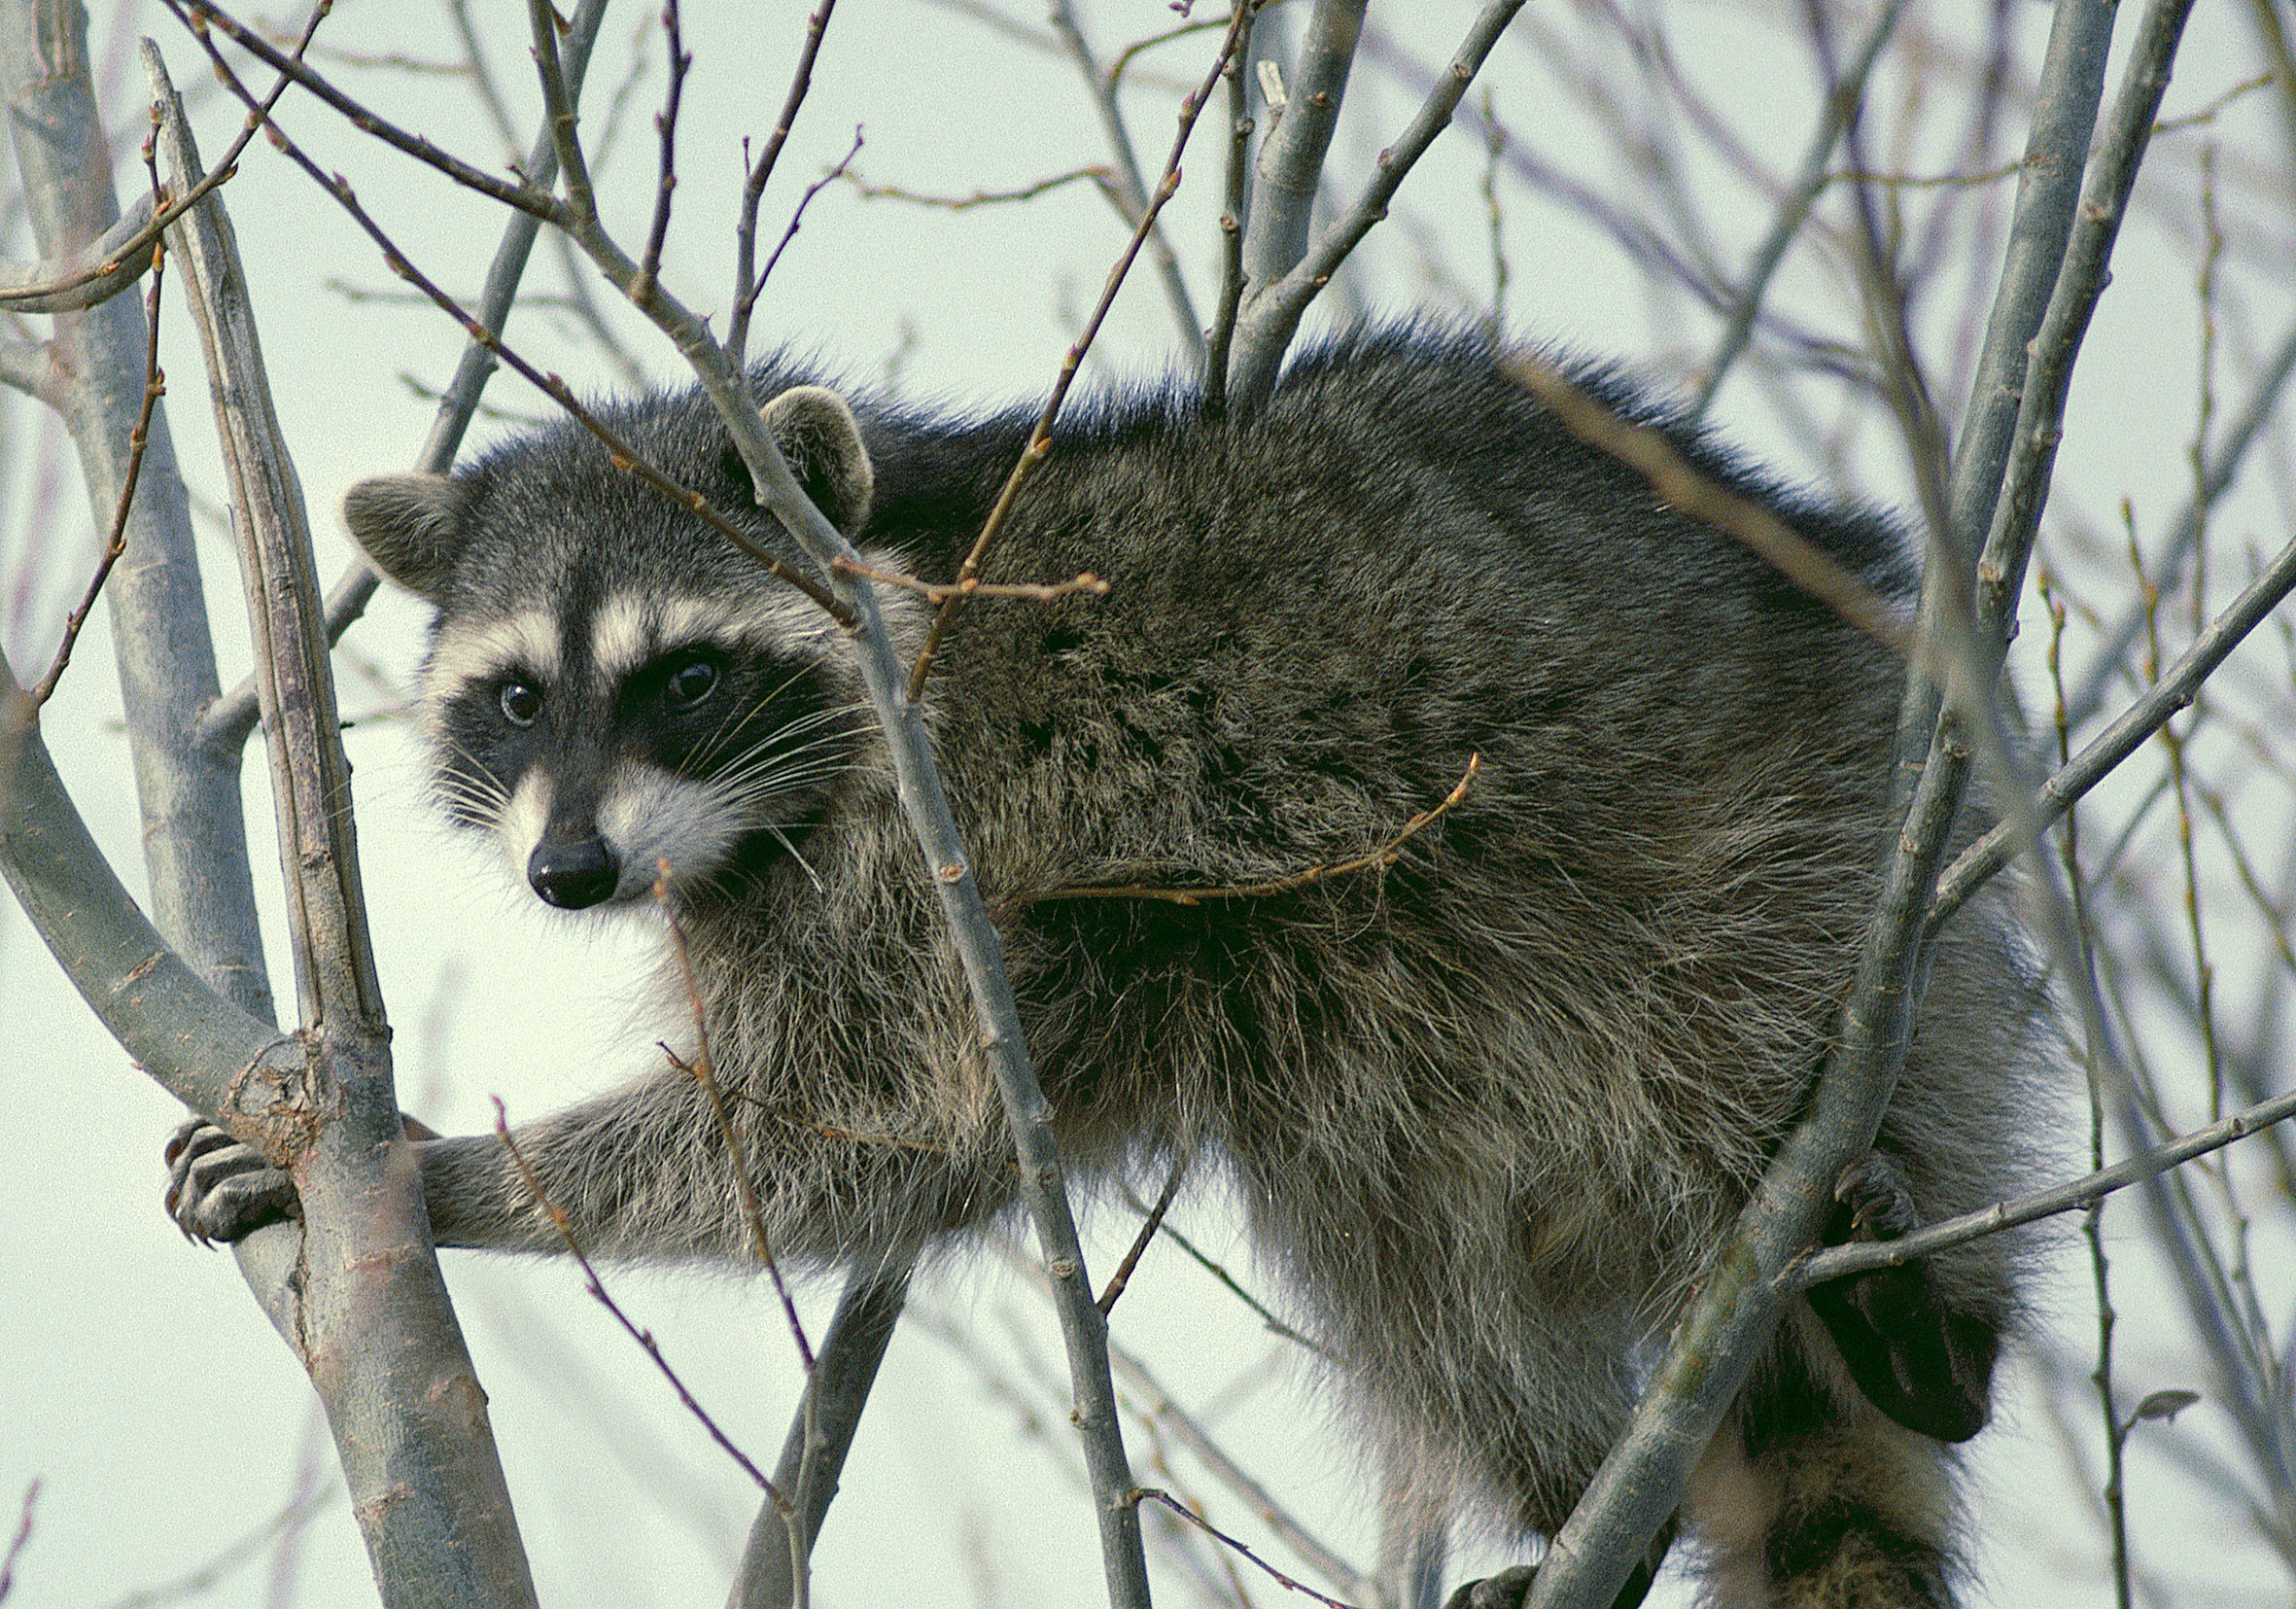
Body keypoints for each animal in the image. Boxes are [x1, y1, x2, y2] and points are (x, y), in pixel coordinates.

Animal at [169, 327, 2041, 1609]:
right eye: (513, 696)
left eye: (683, 677)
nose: (570, 873)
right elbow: (873, 1138)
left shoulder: (948, 846)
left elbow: (853, 1121)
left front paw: (451, 1172)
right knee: (1392, 1244)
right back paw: (1578, 1488)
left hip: (1793, 859)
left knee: (1742, 1047)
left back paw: (1930, 1332)